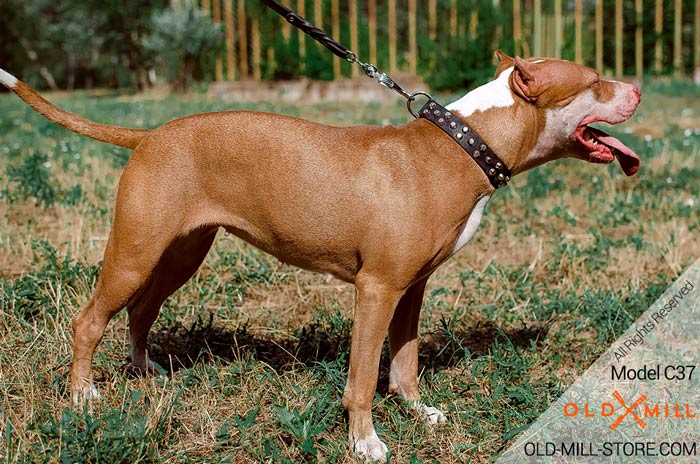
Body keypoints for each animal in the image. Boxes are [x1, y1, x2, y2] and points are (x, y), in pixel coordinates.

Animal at [0, 50, 640, 460]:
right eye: (595, 81)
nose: (635, 89)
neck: (462, 145)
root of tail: (149, 135)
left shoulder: (411, 288)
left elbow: (403, 362)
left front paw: (419, 412)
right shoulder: (376, 289)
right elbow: (361, 378)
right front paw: (366, 441)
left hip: (180, 253)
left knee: (141, 309)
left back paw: (145, 372)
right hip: (135, 251)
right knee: (89, 319)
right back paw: (83, 397)